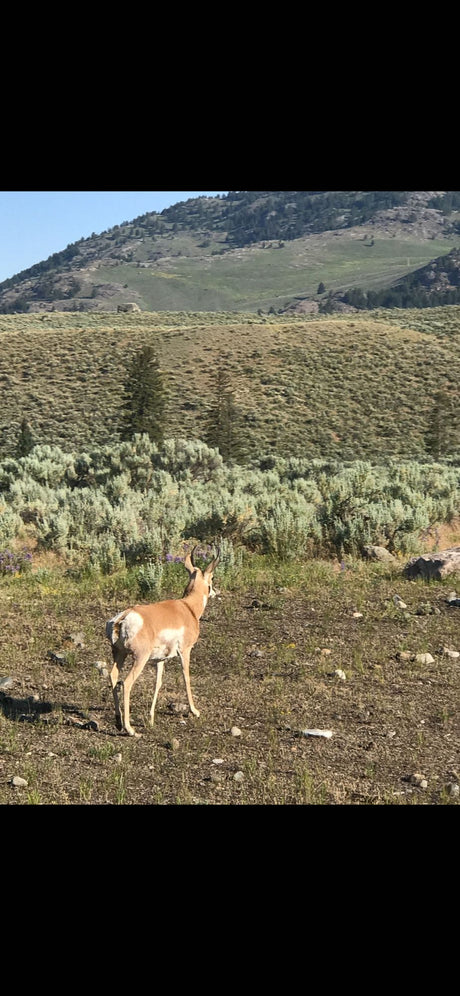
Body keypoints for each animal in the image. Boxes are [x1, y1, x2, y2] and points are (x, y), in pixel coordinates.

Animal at [105, 547, 220, 737]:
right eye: (212, 577)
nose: (214, 592)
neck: (187, 608)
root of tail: (124, 617)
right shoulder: (185, 651)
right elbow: (186, 677)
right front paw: (194, 711)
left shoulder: (160, 660)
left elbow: (157, 683)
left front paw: (151, 719)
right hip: (140, 658)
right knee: (126, 683)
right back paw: (130, 729)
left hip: (120, 654)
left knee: (113, 676)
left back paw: (118, 722)